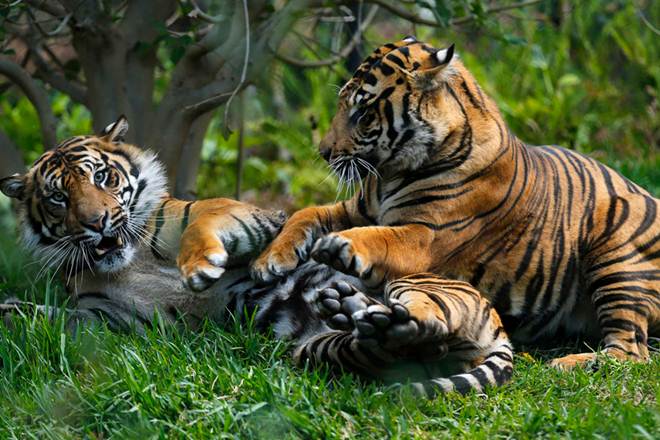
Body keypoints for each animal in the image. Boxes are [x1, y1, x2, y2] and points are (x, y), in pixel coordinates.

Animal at [0, 116, 513, 396]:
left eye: (103, 177)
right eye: (59, 199)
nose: (98, 222)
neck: (126, 263)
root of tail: (499, 328)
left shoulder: (245, 215)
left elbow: (204, 225)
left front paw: (199, 268)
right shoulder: (109, 323)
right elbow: (42, 317)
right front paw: (10, 311)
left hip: (418, 283)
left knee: (434, 319)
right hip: (318, 351)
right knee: (400, 347)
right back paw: (358, 315)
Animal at [251, 36, 660, 370]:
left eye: (363, 113)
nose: (323, 153)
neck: (390, 173)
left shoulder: (427, 236)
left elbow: (383, 237)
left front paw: (341, 245)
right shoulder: (357, 208)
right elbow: (307, 212)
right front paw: (270, 261)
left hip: (614, 251)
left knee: (631, 351)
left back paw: (571, 363)